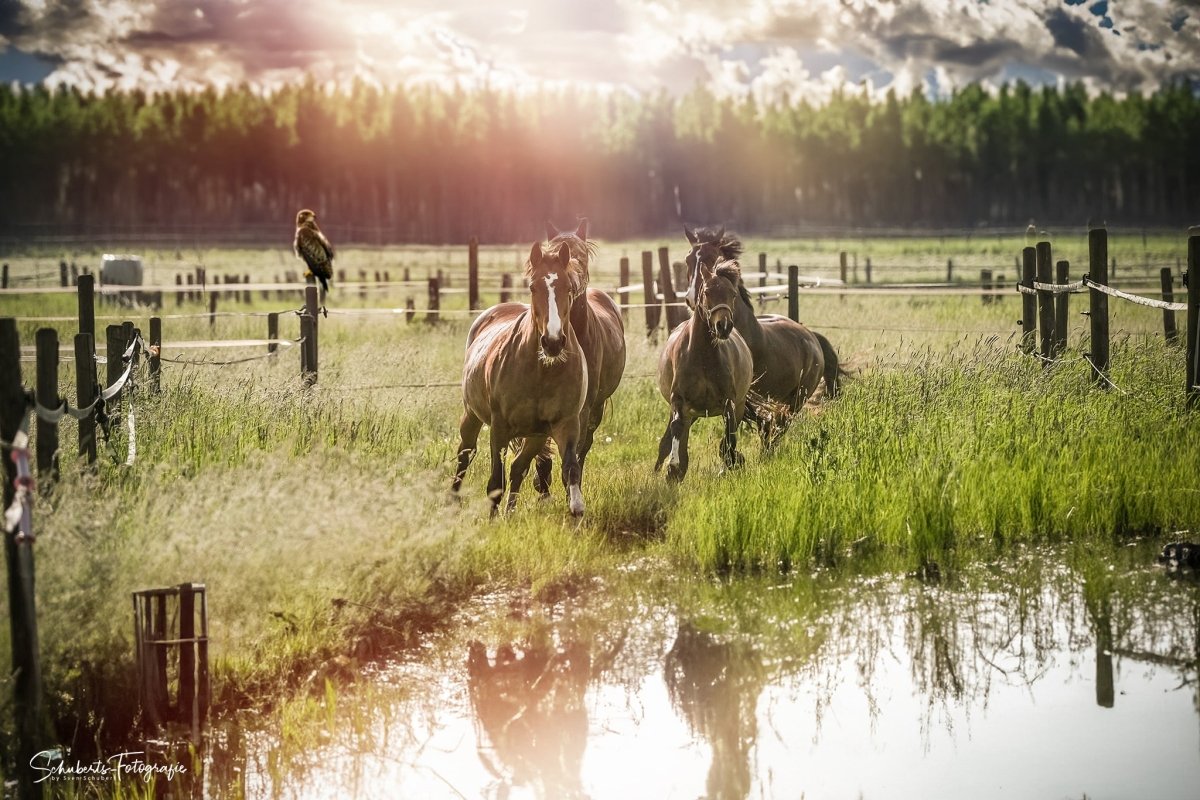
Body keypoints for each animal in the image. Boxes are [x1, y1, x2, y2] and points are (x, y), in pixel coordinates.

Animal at [451, 241, 588, 515]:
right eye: (533, 287)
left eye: (568, 287)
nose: (553, 342)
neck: (541, 372)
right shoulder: (499, 427)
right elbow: (496, 482)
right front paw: (492, 520)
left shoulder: (566, 424)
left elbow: (571, 471)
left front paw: (577, 510)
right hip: (471, 415)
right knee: (465, 454)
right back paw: (453, 499)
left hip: (536, 436)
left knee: (518, 467)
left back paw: (510, 512)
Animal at [530, 219, 628, 494]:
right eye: (550, 252)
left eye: (582, 256)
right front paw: (542, 481)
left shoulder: (582, 407)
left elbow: (575, 448)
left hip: (596, 407)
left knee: (586, 444)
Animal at [657, 260, 748, 482]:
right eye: (707, 292)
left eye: (733, 294)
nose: (723, 326)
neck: (703, 356)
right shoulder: (680, 402)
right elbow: (677, 430)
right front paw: (673, 468)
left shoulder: (730, 403)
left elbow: (728, 441)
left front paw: (734, 462)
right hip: (689, 412)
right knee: (671, 439)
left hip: (737, 406)